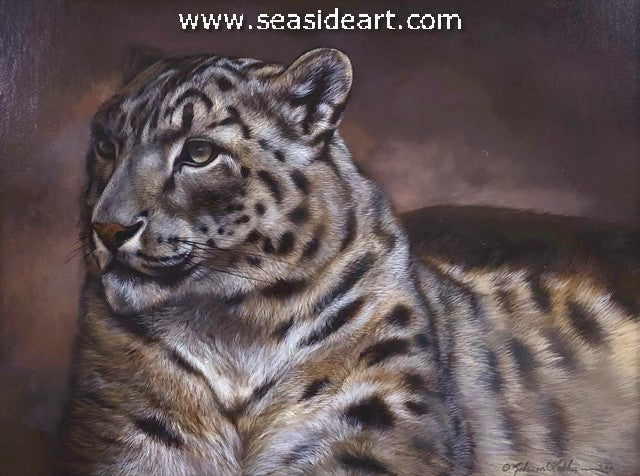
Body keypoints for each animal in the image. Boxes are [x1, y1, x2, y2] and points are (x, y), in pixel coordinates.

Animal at [58, 48, 640, 475]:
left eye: (199, 153)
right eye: (107, 145)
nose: (109, 228)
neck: (228, 332)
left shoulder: (376, 419)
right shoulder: (121, 430)